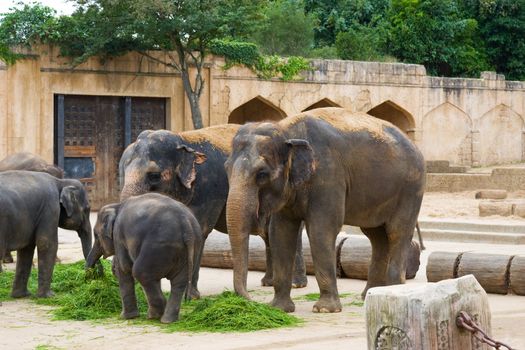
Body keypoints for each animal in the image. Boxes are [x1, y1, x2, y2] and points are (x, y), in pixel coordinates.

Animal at [85, 193, 202, 324]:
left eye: (96, 235)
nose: (90, 276)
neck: (116, 206)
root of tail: (185, 224)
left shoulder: (118, 236)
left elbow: (124, 268)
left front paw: (126, 317)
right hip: (190, 247)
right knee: (178, 282)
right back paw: (167, 320)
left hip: (158, 245)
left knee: (140, 272)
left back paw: (154, 316)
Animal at [118, 126, 308, 296]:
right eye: (122, 172)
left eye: (154, 176)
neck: (182, 138)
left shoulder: (209, 191)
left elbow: (198, 232)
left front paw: (191, 297)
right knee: (268, 234)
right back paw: (268, 282)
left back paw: (296, 284)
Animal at [225, 108, 426, 314]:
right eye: (226, 169)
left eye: (262, 174)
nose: (250, 301)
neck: (286, 130)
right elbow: (280, 233)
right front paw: (279, 309)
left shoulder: (328, 176)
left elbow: (321, 230)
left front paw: (324, 310)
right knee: (377, 237)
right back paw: (368, 296)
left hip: (411, 189)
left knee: (397, 233)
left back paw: (391, 290)